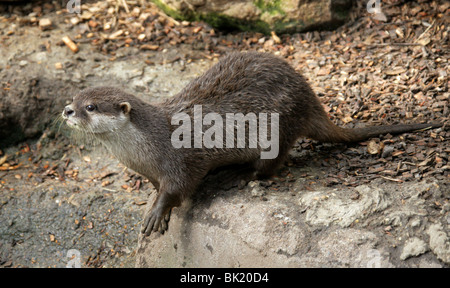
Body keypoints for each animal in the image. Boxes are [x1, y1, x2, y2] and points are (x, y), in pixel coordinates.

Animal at [63, 51, 442, 236]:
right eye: (76, 98)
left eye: (91, 107)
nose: (66, 110)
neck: (145, 149)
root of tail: (309, 98)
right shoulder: (150, 171)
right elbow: (158, 188)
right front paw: (152, 203)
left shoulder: (178, 162)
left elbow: (177, 189)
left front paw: (158, 213)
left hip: (277, 125)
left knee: (271, 165)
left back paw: (238, 175)